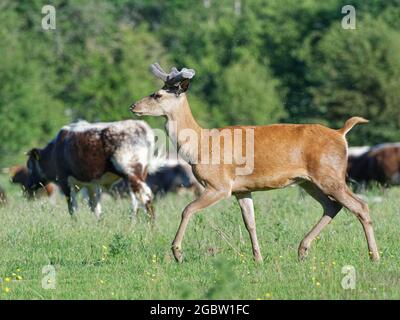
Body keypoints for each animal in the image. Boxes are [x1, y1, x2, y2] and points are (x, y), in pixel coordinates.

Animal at [25, 119, 158, 221]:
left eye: (30, 166)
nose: (28, 186)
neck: (54, 151)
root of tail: (141, 125)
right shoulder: (92, 185)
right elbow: (95, 208)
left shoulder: (65, 182)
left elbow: (73, 208)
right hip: (137, 176)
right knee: (137, 201)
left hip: (132, 172)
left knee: (145, 196)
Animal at [130, 62, 380, 262]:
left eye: (157, 95)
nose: (134, 106)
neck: (200, 145)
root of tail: (341, 134)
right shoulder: (242, 189)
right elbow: (250, 222)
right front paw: (258, 259)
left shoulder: (219, 185)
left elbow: (187, 210)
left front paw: (177, 253)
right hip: (308, 181)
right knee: (332, 206)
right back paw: (302, 250)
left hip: (329, 175)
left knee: (360, 206)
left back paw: (374, 257)